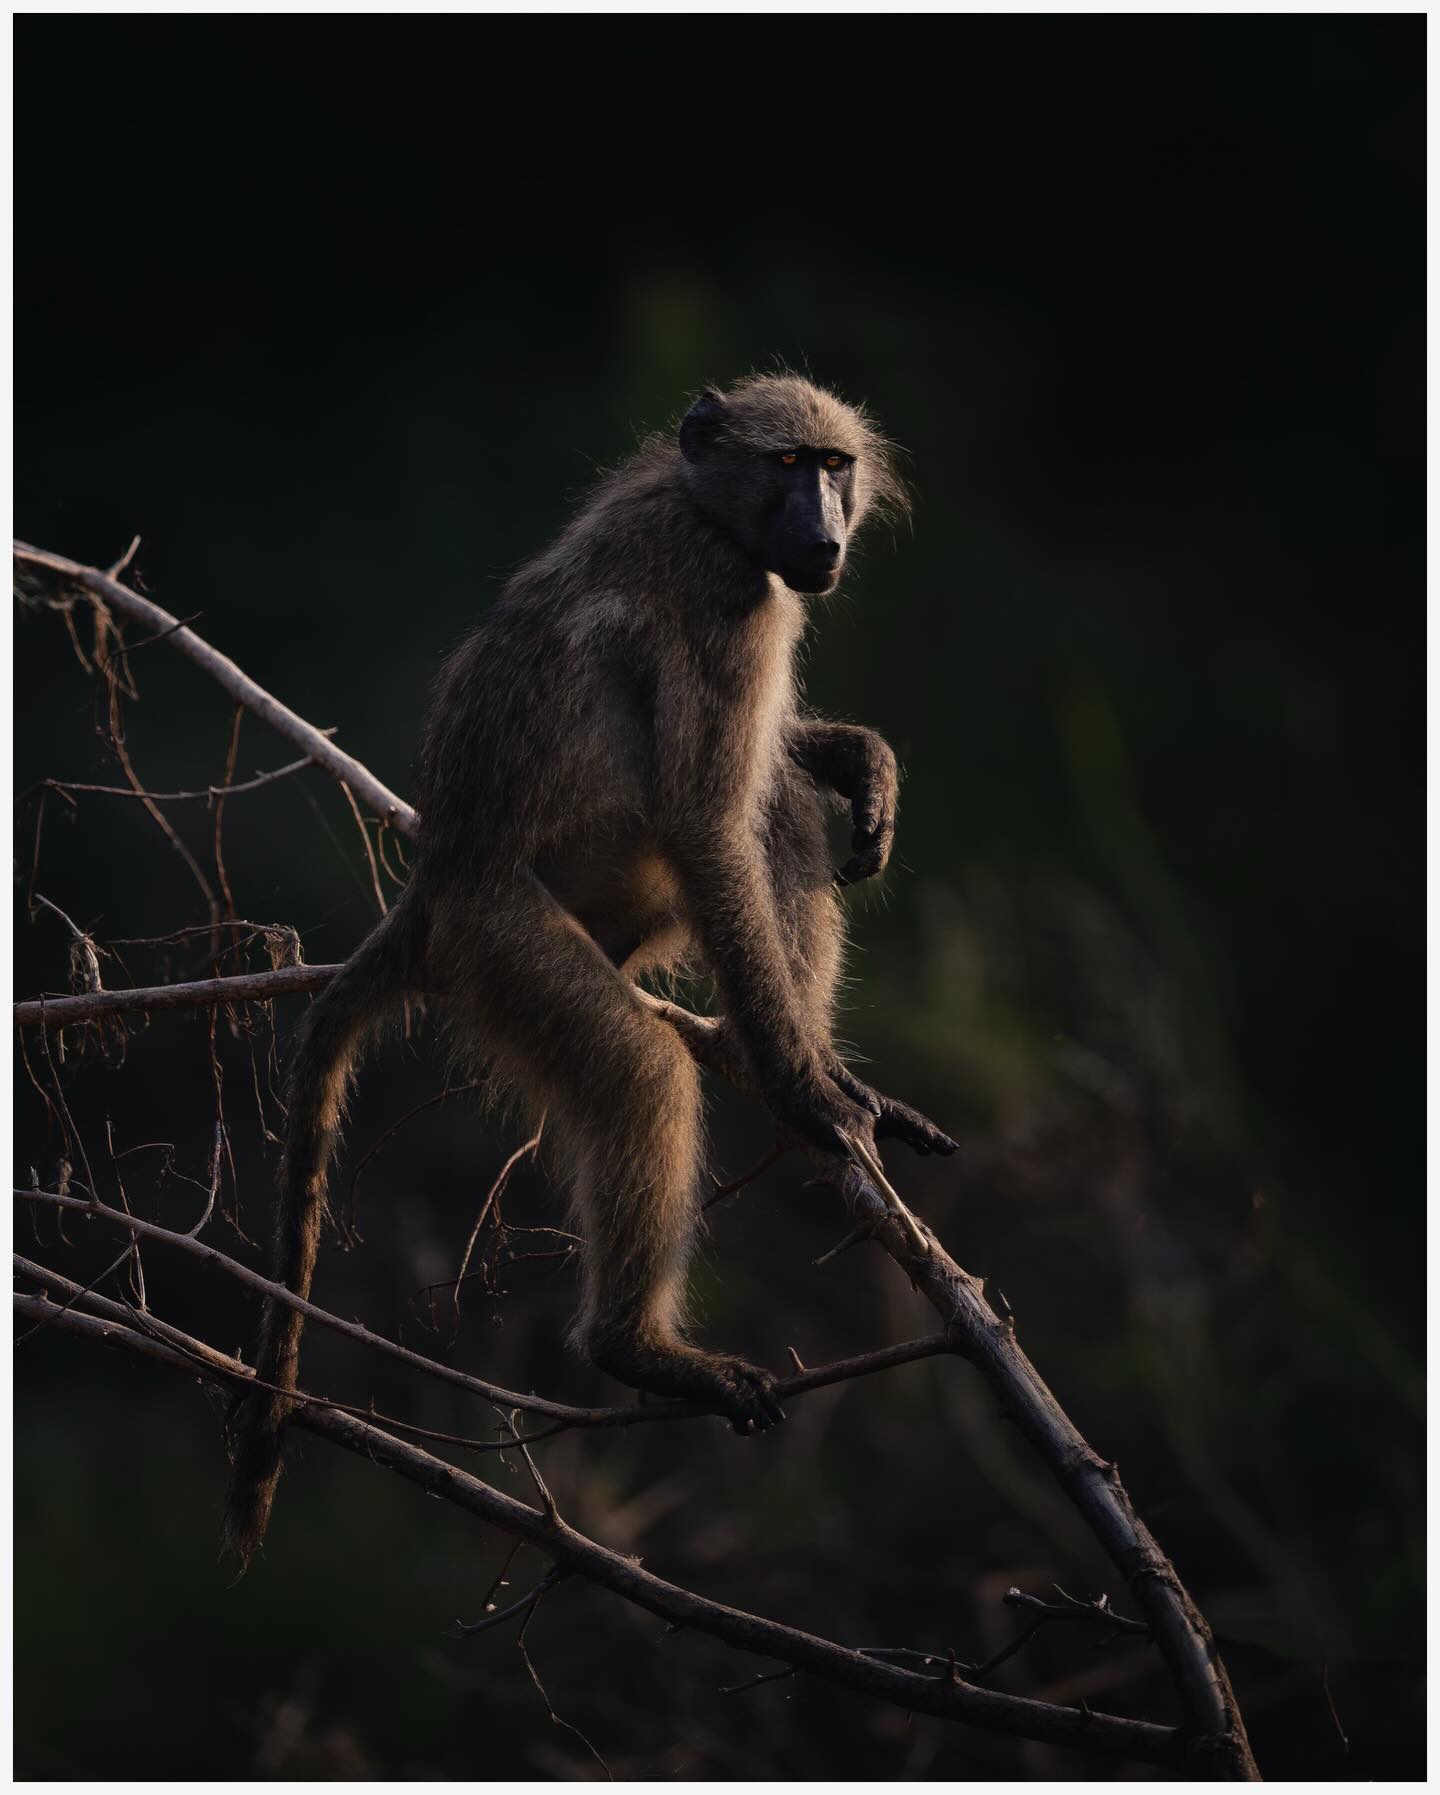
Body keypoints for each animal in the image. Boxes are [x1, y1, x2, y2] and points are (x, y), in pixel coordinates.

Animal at [224, 373, 957, 1565]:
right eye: (788, 465)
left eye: (835, 465)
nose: (825, 536)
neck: (704, 505)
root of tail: (436, 880)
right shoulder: (732, 601)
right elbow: (704, 817)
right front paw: (811, 1096)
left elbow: (761, 782)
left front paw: (854, 756)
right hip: (506, 942)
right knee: (646, 1055)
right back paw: (639, 1342)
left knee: (776, 811)